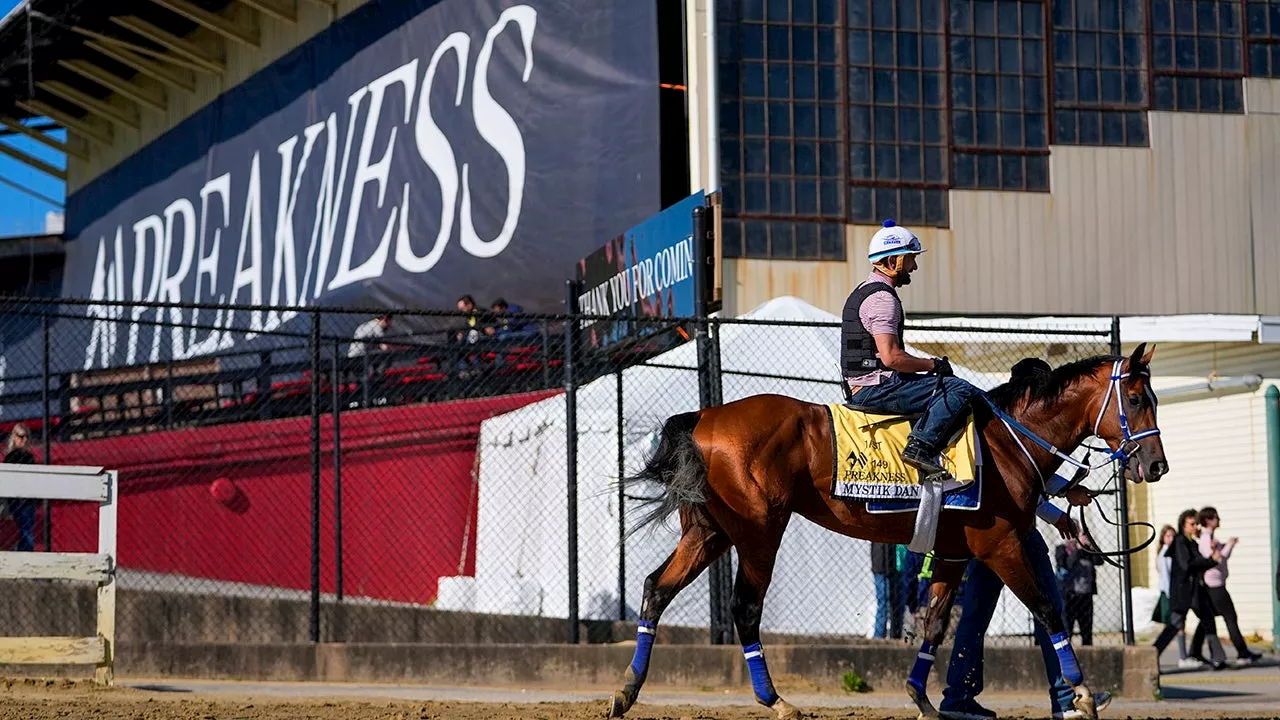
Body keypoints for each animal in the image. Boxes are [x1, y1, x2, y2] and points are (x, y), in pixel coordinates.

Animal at [604, 340, 1167, 717]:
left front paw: (922, 698)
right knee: (744, 608)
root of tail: (704, 417)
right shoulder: (1001, 545)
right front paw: (1083, 693)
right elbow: (1048, 609)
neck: (1008, 441)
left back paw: (628, 688)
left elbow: (935, 625)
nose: (1157, 465)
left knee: (656, 588)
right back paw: (774, 699)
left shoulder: (953, 553)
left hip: (709, 533)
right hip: (759, 533)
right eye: (1139, 400)